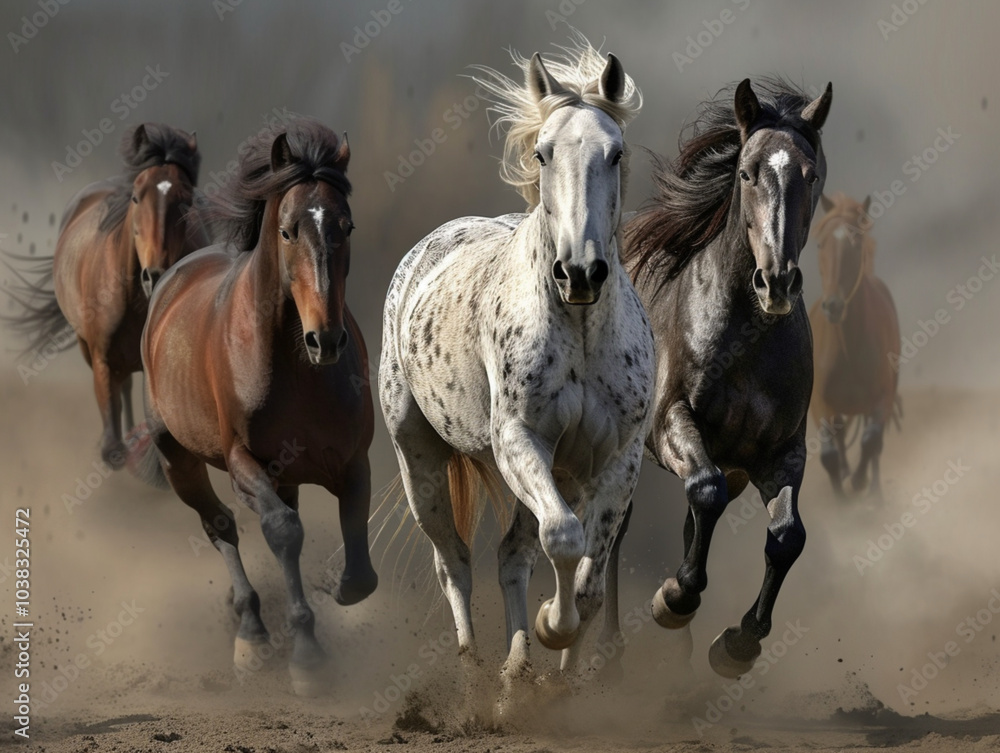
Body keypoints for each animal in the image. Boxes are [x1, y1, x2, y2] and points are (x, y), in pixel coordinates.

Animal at [127, 118, 377, 696]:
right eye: (287, 230)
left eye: (347, 225)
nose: (325, 340)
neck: (295, 366)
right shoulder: (245, 461)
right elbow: (282, 530)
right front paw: (307, 658)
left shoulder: (353, 460)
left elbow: (357, 550)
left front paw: (341, 587)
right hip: (180, 461)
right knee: (219, 525)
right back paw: (251, 634)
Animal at [379, 36, 654, 709]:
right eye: (542, 151)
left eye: (615, 152)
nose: (579, 272)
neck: (579, 330)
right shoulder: (519, 440)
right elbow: (564, 540)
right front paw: (553, 627)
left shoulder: (617, 459)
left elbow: (587, 578)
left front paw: (560, 656)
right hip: (420, 459)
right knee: (453, 560)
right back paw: (474, 672)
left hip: (551, 473)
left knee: (512, 556)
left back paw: (519, 670)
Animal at [615, 78, 833, 678]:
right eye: (747, 172)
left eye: (812, 174)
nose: (776, 282)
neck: (747, 340)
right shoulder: (672, 423)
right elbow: (705, 493)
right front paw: (673, 599)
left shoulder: (779, 454)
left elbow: (786, 537)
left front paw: (738, 644)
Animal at [809, 192, 901, 498]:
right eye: (820, 243)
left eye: (856, 242)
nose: (834, 306)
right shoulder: (820, 403)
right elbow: (828, 454)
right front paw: (842, 500)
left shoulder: (882, 396)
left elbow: (871, 441)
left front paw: (861, 483)